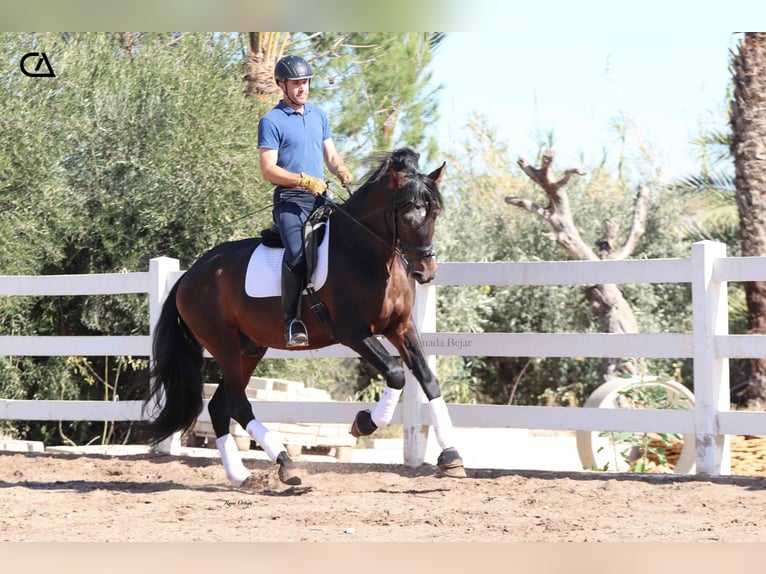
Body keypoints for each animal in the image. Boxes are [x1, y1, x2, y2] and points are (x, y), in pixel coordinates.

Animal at [144, 148, 468, 490]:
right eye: (406, 217)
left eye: (433, 215)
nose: (425, 273)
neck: (369, 255)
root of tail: (191, 275)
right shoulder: (354, 333)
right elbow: (396, 374)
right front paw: (363, 423)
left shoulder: (401, 327)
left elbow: (428, 380)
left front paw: (451, 456)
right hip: (224, 345)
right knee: (239, 403)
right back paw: (285, 463)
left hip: (250, 348)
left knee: (221, 405)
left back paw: (241, 475)